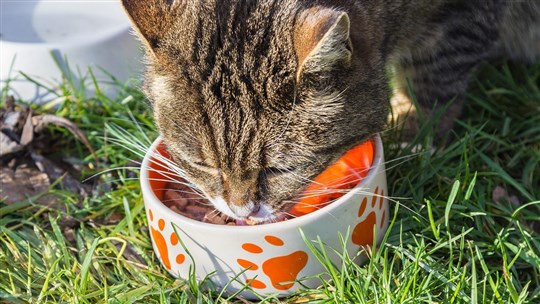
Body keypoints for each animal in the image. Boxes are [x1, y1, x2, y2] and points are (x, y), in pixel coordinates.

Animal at [122, 1, 540, 222]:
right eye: (202, 165)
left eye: (280, 169)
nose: (242, 212)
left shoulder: (463, 18)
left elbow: (433, 76)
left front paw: (414, 134)